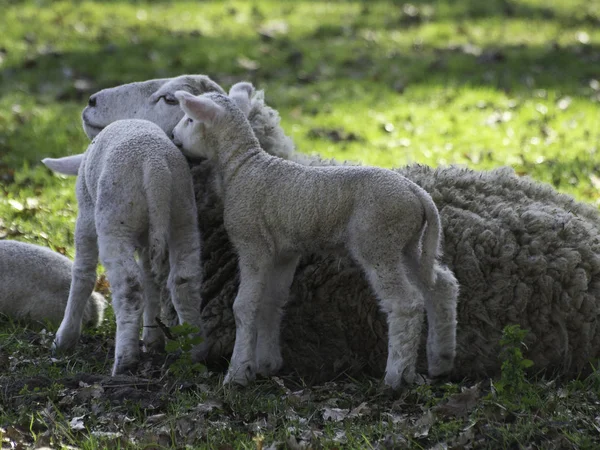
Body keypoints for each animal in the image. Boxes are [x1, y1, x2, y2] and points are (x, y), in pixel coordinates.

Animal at [44, 118, 204, 374]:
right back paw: (195, 352)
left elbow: (83, 274)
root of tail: (155, 169)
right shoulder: (149, 241)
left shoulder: (86, 215)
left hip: (116, 216)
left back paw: (125, 361)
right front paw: (153, 340)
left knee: (129, 286)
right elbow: (151, 281)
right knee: (183, 280)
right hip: (183, 213)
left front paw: (64, 339)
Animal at [171, 84, 458, 390]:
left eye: (189, 119)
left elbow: (244, 307)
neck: (242, 168)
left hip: (378, 240)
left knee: (406, 303)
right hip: (407, 243)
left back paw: (396, 376)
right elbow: (271, 302)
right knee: (442, 285)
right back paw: (441, 360)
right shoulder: (284, 253)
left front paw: (238, 373)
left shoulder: (252, 244)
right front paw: (267, 364)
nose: (174, 137)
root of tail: (418, 194)